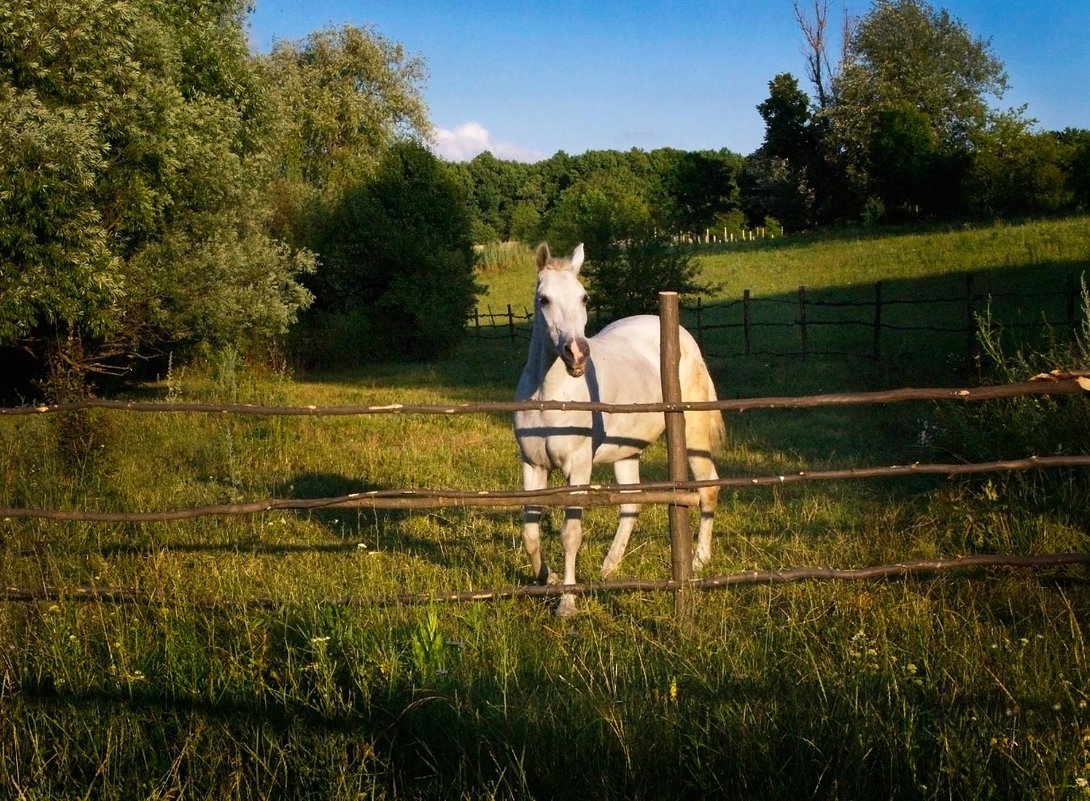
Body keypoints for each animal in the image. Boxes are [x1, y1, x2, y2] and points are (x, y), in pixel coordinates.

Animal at [510, 240, 723, 619]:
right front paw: (546, 579)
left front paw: (567, 603)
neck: (549, 396)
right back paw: (609, 567)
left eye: (584, 297)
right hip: (627, 452)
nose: (577, 353)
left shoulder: (578, 467)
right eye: (543, 299)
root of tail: (682, 336)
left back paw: (699, 561)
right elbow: (530, 531)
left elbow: (571, 533)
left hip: (693, 437)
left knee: (707, 488)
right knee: (631, 504)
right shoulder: (533, 464)